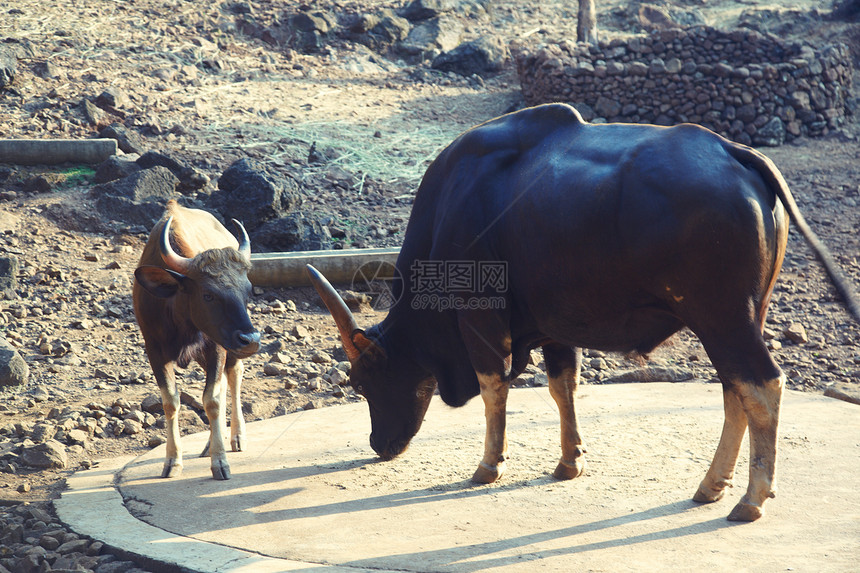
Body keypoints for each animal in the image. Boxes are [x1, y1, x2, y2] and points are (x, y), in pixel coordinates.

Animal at [310, 100, 860, 520]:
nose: (380, 443)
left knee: (762, 386)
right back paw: (711, 486)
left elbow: (494, 387)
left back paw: (750, 499)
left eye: (363, 381)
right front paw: (569, 461)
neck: (456, 201)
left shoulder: (479, 319)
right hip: (744, 317)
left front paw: (489, 465)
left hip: (723, 318)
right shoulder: (555, 327)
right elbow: (563, 386)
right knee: (735, 390)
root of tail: (735, 153)